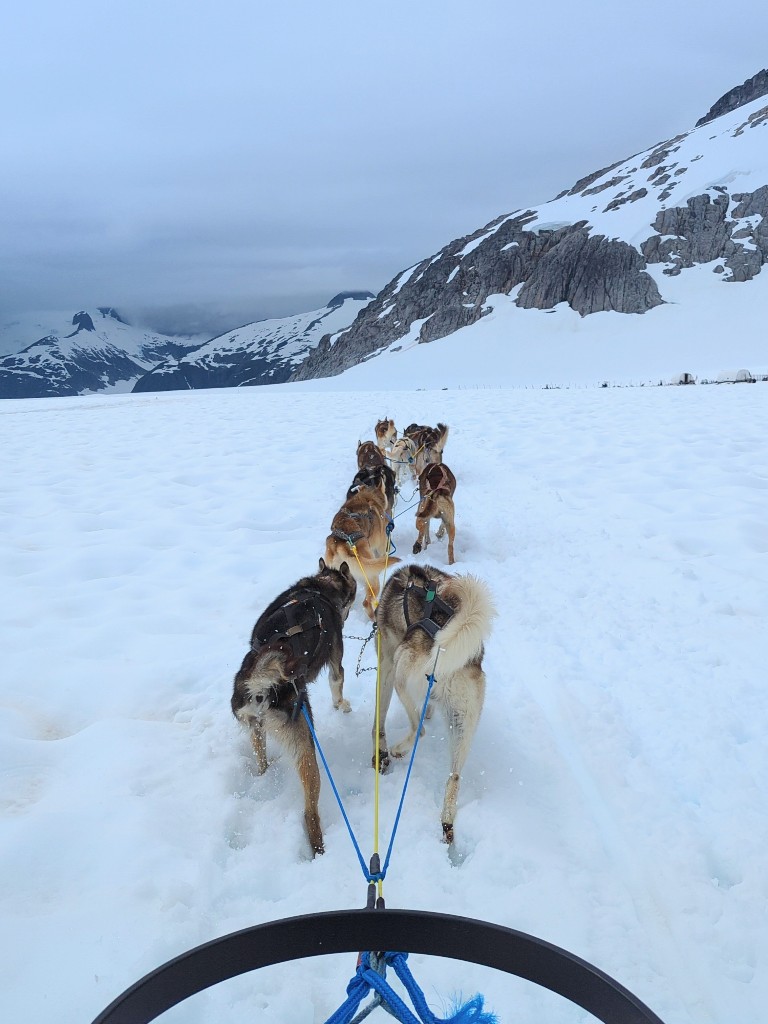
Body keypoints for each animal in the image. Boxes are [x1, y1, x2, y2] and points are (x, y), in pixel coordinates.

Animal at [231, 561, 358, 856]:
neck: (319, 587)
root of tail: (262, 689)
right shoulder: (336, 660)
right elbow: (338, 685)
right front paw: (342, 706)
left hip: (255, 730)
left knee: (262, 761)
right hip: (307, 752)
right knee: (309, 812)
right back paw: (318, 847)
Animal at [374, 565, 495, 843]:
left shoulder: (386, 666)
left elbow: (380, 716)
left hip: (401, 674)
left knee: (418, 729)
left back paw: (399, 749)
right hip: (462, 724)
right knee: (455, 776)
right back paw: (447, 820)